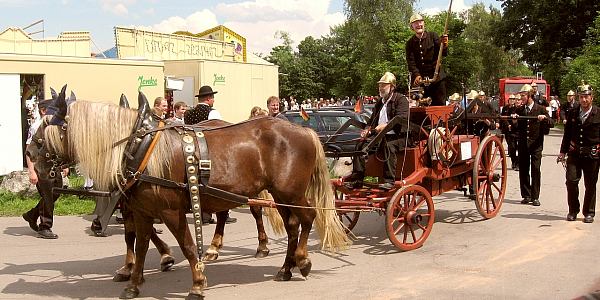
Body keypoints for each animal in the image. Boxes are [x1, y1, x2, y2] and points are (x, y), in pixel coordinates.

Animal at [44, 92, 350, 298]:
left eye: (50, 127)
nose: (36, 159)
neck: (142, 148)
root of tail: (304, 130)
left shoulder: (170, 211)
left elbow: (188, 246)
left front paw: (197, 283)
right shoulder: (142, 210)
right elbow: (140, 245)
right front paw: (133, 282)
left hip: (291, 193)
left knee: (307, 218)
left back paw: (302, 260)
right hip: (280, 194)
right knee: (292, 225)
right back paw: (286, 268)